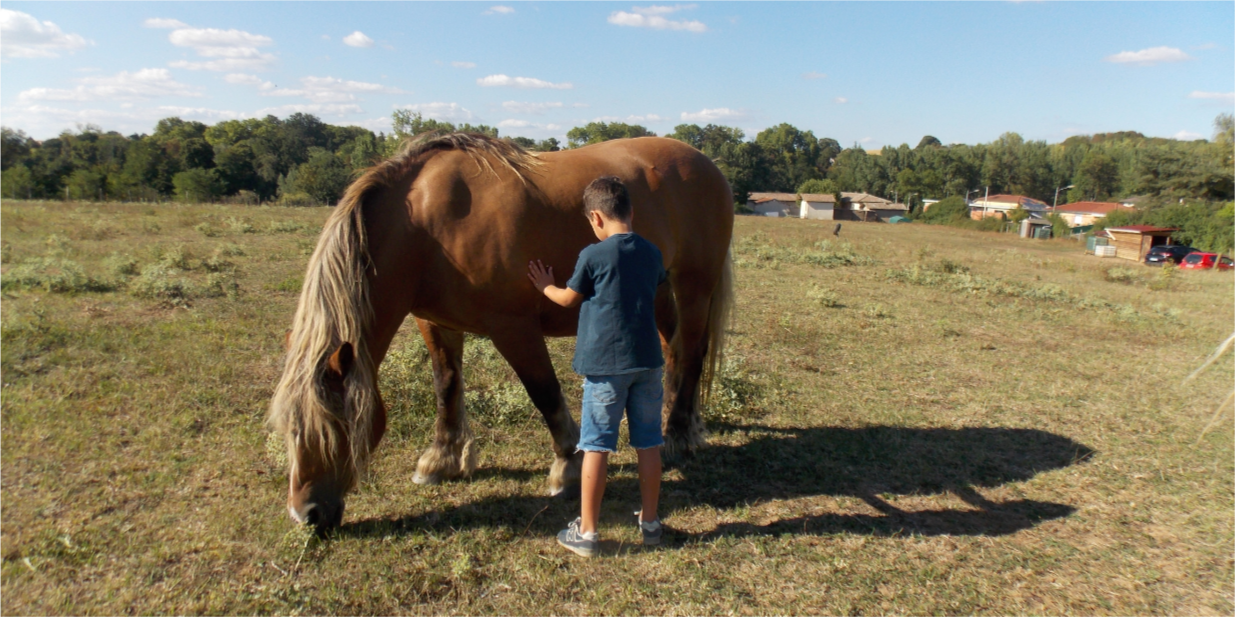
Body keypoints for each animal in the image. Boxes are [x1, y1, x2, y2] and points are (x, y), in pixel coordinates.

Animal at [269, 135, 731, 530]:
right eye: (290, 428)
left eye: (333, 425)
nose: (305, 514)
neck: (426, 226)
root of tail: (705, 163)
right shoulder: (435, 322)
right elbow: (446, 386)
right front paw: (442, 459)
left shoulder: (513, 326)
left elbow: (543, 392)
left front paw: (567, 467)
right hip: (657, 291)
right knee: (673, 352)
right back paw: (670, 417)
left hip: (693, 285)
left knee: (691, 352)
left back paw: (678, 435)